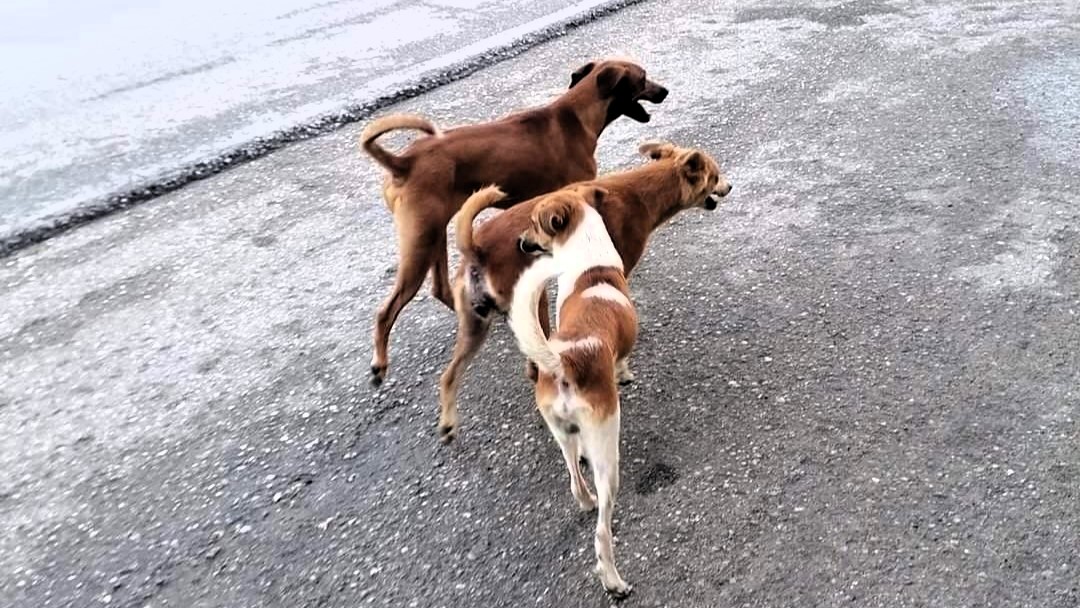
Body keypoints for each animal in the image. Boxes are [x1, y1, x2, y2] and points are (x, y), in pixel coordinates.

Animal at [360, 60, 665, 384]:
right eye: (642, 78)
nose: (665, 91)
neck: (574, 117)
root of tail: (402, 163)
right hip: (420, 243)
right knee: (387, 311)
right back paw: (380, 363)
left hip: (433, 236)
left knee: (440, 288)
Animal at [438, 141, 734, 442]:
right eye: (715, 176)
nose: (730, 186)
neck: (641, 193)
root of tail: (476, 248)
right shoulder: (618, 269)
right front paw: (622, 369)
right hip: (533, 303)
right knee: (533, 366)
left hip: (475, 325)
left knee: (449, 375)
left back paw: (448, 423)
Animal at [507, 188, 635, 600]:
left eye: (534, 223)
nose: (520, 242)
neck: (589, 261)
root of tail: (566, 360)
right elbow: (623, 362)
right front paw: (625, 374)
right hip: (608, 448)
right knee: (601, 531)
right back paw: (613, 580)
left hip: (561, 431)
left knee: (576, 480)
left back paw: (584, 495)